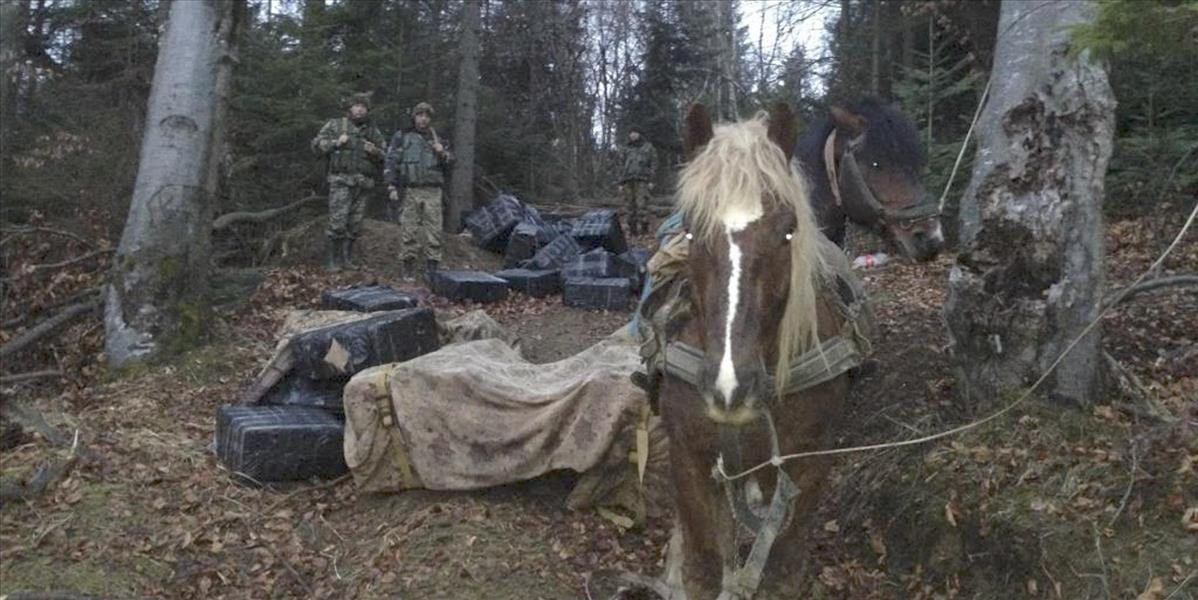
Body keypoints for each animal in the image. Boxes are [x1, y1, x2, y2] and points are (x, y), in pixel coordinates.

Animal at [656, 105, 872, 596]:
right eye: (691, 230)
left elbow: (782, 568)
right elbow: (703, 563)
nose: (730, 388)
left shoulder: (806, 463)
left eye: (788, 231)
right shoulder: (687, 456)